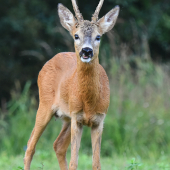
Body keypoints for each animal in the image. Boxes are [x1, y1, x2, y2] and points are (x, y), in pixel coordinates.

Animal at [23, 0, 119, 169]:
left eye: (98, 37)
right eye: (76, 35)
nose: (86, 51)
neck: (89, 103)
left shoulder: (99, 120)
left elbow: (96, 164)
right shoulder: (77, 118)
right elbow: (74, 162)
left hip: (67, 117)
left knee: (58, 145)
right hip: (45, 105)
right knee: (30, 146)